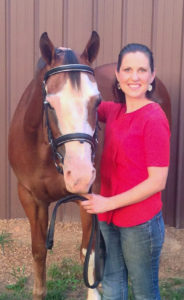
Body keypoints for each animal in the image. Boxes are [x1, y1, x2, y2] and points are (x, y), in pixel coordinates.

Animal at [7, 31, 101, 300]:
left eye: (98, 102)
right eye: (49, 103)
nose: (79, 176)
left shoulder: (89, 197)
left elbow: (87, 252)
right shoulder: (30, 198)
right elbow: (39, 251)